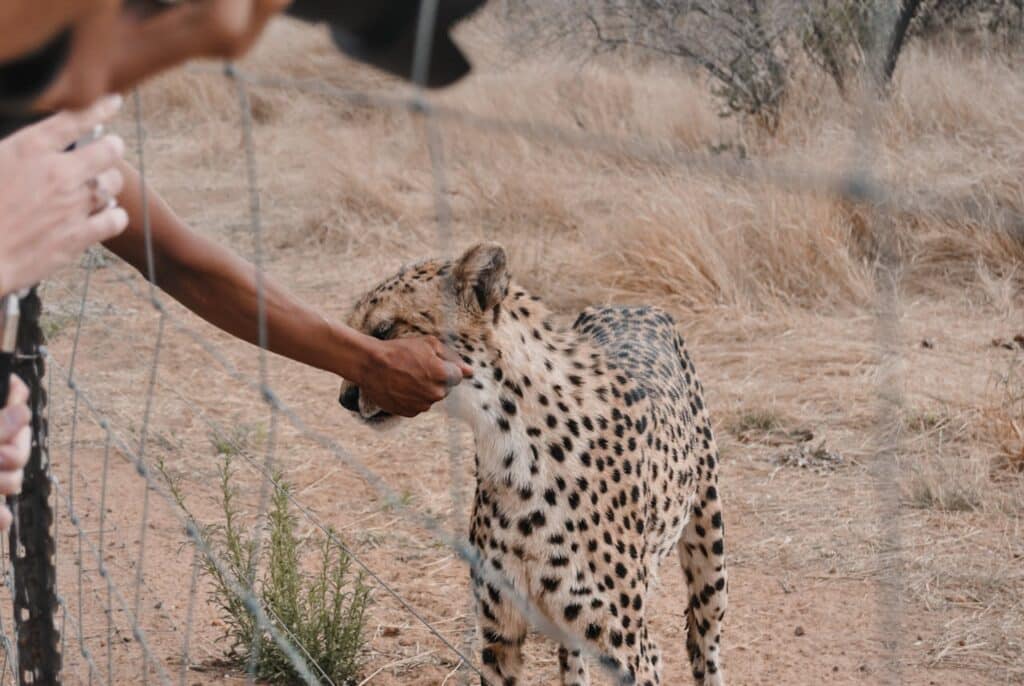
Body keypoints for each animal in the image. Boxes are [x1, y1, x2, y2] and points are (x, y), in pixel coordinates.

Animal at [342, 244, 729, 683]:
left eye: (384, 329)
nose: (345, 397)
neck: (508, 436)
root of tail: (633, 305)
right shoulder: (499, 630)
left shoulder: (631, 650)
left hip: (708, 548)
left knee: (703, 641)